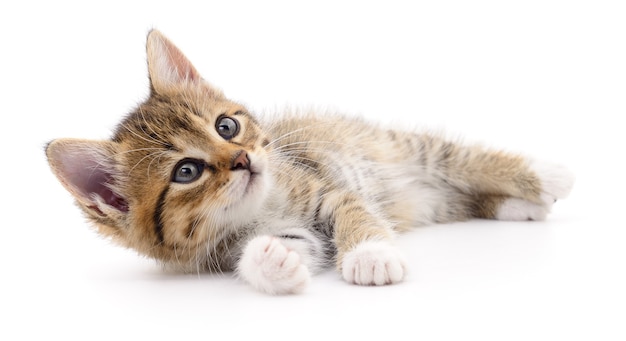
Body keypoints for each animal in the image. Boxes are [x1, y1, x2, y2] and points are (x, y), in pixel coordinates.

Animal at [44, 30, 572, 294]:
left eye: (225, 127)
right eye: (186, 172)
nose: (243, 158)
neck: (259, 209)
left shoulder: (324, 187)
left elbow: (356, 211)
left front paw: (370, 256)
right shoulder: (261, 238)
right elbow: (292, 247)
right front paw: (271, 261)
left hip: (403, 149)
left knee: (459, 159)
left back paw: (544, 176)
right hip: (433, 201)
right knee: (460, 197)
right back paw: (521, 207)